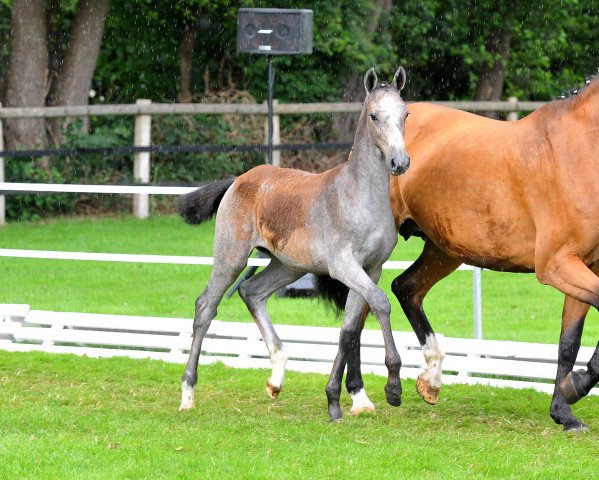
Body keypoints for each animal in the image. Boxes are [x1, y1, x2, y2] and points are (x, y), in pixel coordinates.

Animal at [178, 67, 412, 420]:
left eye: (405, 114)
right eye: (374, 115)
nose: (400, 162)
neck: (359, 198)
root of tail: (238, 180)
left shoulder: (371, 269)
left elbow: (349, 328)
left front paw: (343, 400)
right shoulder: (344, 266)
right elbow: (381, 304)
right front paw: (393, 387)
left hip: (287, 266)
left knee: (252, 291)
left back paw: (276, 377)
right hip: (231, 259)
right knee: (206, 307)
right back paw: (188, 393)